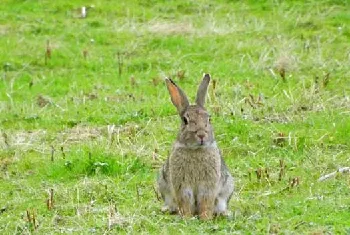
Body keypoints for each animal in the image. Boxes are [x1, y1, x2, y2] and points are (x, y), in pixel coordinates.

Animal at [157, 74, 234, 220]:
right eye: (185, 120)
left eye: (209, 119)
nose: (201, 135)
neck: (195, 150)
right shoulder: (182, 185)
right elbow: (185, 201)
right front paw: (187, 217)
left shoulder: (208, 185)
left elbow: (206, 201)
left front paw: (205, 218)